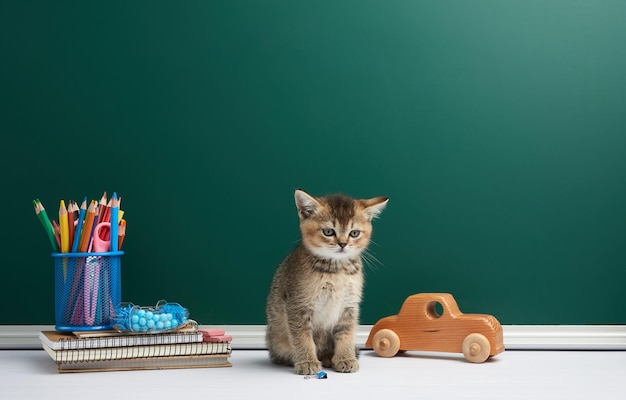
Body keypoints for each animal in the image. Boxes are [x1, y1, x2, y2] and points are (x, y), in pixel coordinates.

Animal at [264, 189, 386, 374]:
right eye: (329, 232)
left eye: (354, 233)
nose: (342, 244)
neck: (336, 271)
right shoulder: (297, 304)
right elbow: (302, 336)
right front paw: (307, 362)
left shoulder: (349, 305)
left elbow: (346, 334)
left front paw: (345, 358)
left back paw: (330, 357)